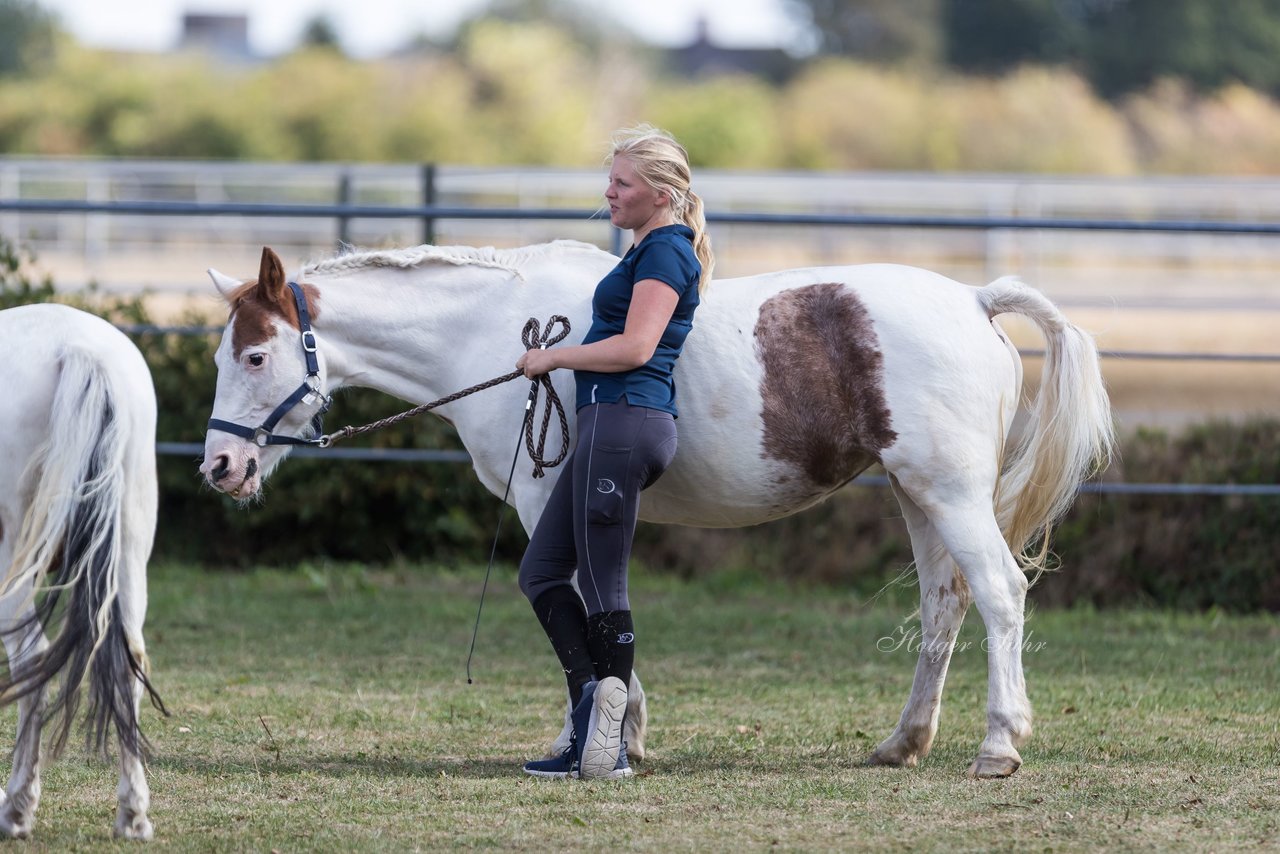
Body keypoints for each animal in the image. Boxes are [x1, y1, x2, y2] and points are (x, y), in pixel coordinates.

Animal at [0, 303, 165, 839]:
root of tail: (78, 349)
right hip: (129, 550)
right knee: (130, 658)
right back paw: (133, 815)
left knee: (31, 660)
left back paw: (16, 809)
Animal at [197, 241, 1111, 783]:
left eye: (256, 355)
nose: (220, 466)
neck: (495, 334)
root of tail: (976, 300)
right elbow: (599, 612)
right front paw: (614, 734)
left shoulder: (548, 504)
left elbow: (584, 610)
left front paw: (607, 737)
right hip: (916, 495)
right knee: (943, 607)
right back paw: (903, 742)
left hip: (949, 493)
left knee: (999, 596)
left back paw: (999, 744)